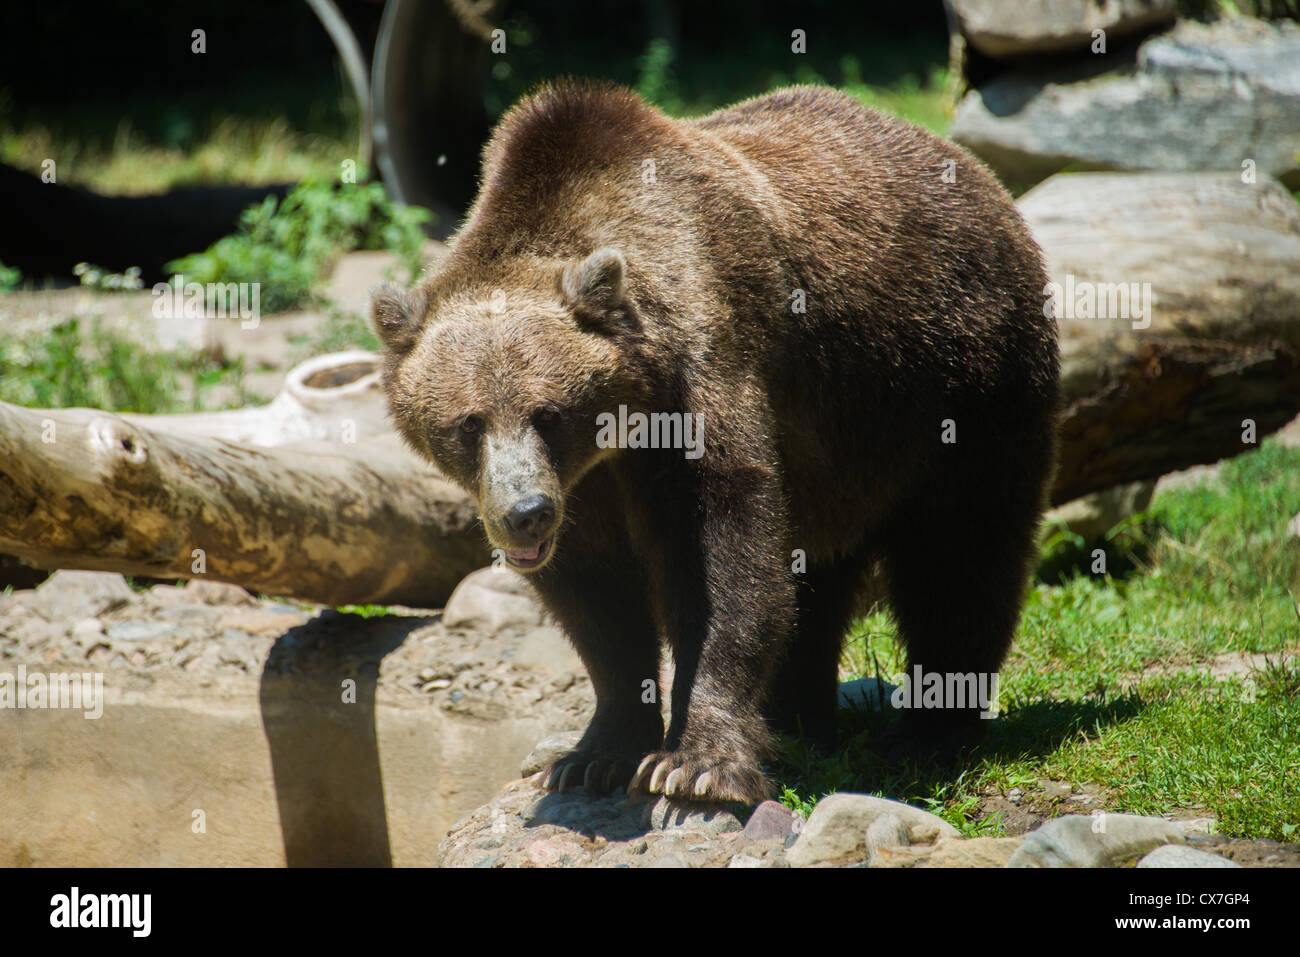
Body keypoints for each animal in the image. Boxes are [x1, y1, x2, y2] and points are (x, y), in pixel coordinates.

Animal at [371, 80, 1059, 804]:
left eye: (547, 412)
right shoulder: (587, 486)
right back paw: (800, 720)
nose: (523, 513)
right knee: (822, 576)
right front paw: (594, 754)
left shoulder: (702, 372)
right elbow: (598, 599)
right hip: (844, 458)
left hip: (958, 381)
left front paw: (694, 763)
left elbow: (723, 554)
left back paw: (926, 732)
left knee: (960, 551)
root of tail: (979, 176)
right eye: (467, 422)